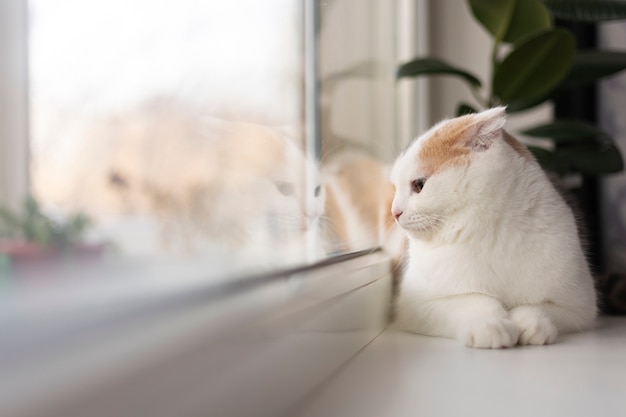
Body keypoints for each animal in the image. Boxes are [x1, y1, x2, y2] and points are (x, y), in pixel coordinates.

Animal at [390, 107, 596, 348]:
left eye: (419, 185)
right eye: (395, 188)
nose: (394, 212)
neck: (488, 233)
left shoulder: (580, 306)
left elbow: (538, 307)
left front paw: (531, 324)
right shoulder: (415, 307)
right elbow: (472, 301)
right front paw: (491, 325)